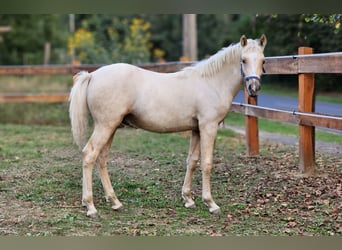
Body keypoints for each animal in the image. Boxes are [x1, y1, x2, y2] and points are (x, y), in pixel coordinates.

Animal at [69, 34, 268, 216]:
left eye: (263, 60)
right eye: (243, 60)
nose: (254, 88)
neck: (211, 82)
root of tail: (93, 75)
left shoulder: (196, 129)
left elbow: (192, 161)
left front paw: (188, 199)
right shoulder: (208, 127)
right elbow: (207, 163)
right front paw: (211, 203)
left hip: (111, 127)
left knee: (101, 159)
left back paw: (115, 202)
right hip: (105, 126)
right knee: (89, 155)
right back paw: (90, 206)